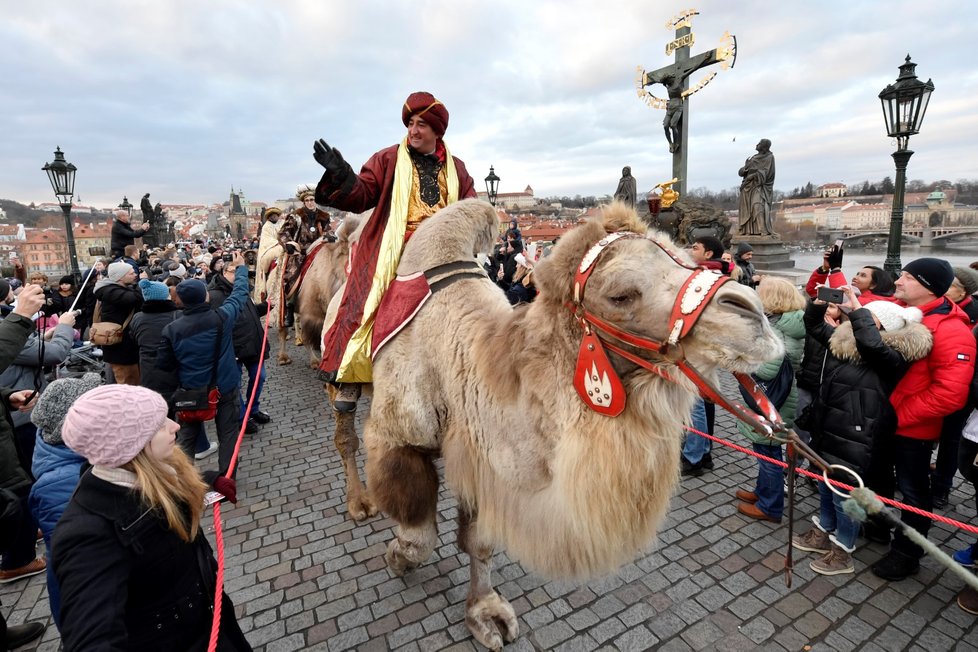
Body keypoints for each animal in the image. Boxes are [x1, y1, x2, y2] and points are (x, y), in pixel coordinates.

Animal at [332, 200, 780, 652]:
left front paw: (485, 613)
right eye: (620, 295)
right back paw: (360, 503)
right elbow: (419, 536)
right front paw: (397, 557)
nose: (752, 314)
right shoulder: (395, 434)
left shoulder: (479, 453)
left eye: (687, 261)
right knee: (345, 434)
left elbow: (479, 540)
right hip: (339, 374)